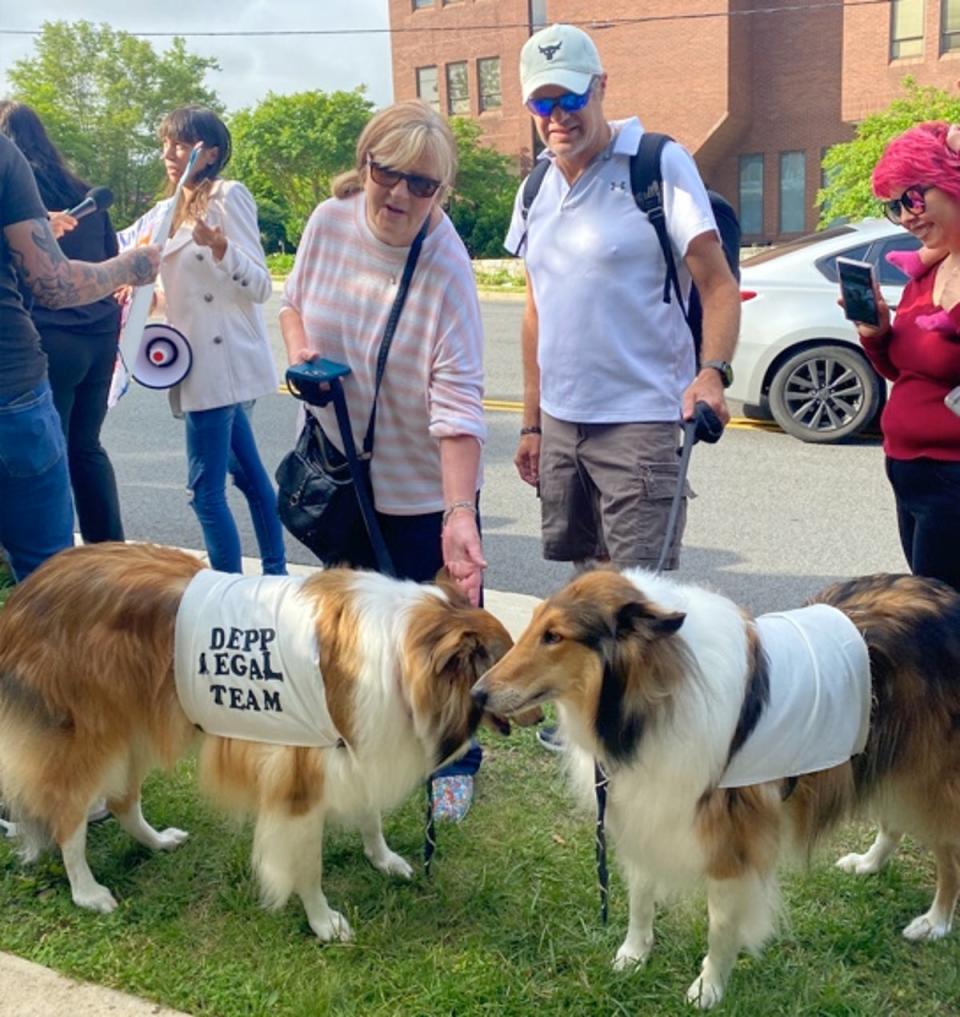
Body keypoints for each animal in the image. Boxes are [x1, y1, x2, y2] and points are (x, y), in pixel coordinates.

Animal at [0, 545, 516, 939]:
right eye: (508, 657)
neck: (400, 654)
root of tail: (26, 591)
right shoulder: (298, 780)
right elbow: (307, 866)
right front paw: (323, 923)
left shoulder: (354, 749)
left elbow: (369, 817)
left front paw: (384, 860)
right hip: (88, 738)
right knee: (66, 817)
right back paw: (88, 893)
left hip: (137, 726)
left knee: (122, 799)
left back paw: (157, 841)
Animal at [469, 573, 960, 1008]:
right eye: (535, 626)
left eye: (554, 636)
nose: (476, 694)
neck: (648, 704)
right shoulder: (646, 808)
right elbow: (640, 898)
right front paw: (633, 955)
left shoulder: (731, 844)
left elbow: (720, 926)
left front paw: (708, 989)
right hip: (891, 761)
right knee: (893, 820)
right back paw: (869, 864)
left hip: (929, 778)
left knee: (948, 853)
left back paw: (934, 922)